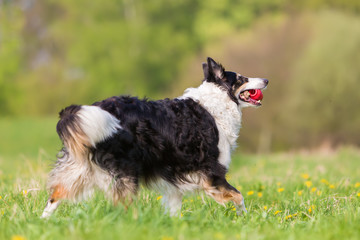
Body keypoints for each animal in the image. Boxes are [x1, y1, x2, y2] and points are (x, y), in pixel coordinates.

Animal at [41, 57, 268, 218]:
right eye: (241, 79)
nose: (266, 80)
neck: (218, 100)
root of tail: (97, 107)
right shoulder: (212, 173)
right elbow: (238, 196)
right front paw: (245, 220)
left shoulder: (175, 175)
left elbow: (174, 209)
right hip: (125, 174)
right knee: (122, 208)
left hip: (80, 168)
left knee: (56, 195)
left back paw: (43, 223)